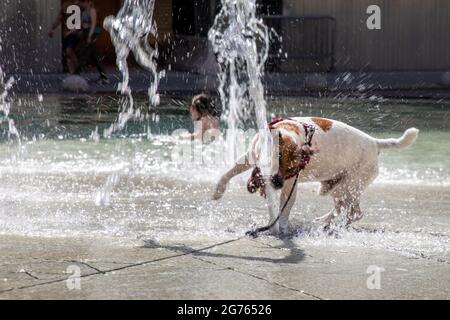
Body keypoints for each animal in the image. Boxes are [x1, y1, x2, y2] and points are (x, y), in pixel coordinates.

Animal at [212, 116, 418, 234]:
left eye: (294, 169)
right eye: (278, 158)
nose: (277, 183)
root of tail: (375, 143)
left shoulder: (290, 186)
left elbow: (283, 209)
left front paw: (280, 228)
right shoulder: (249, 156)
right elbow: (228, 172)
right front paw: (218, 191)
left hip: (348, 185)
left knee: (354, 212)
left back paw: (330, 226)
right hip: (336, 186)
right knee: (343, 208)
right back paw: (324, 221)